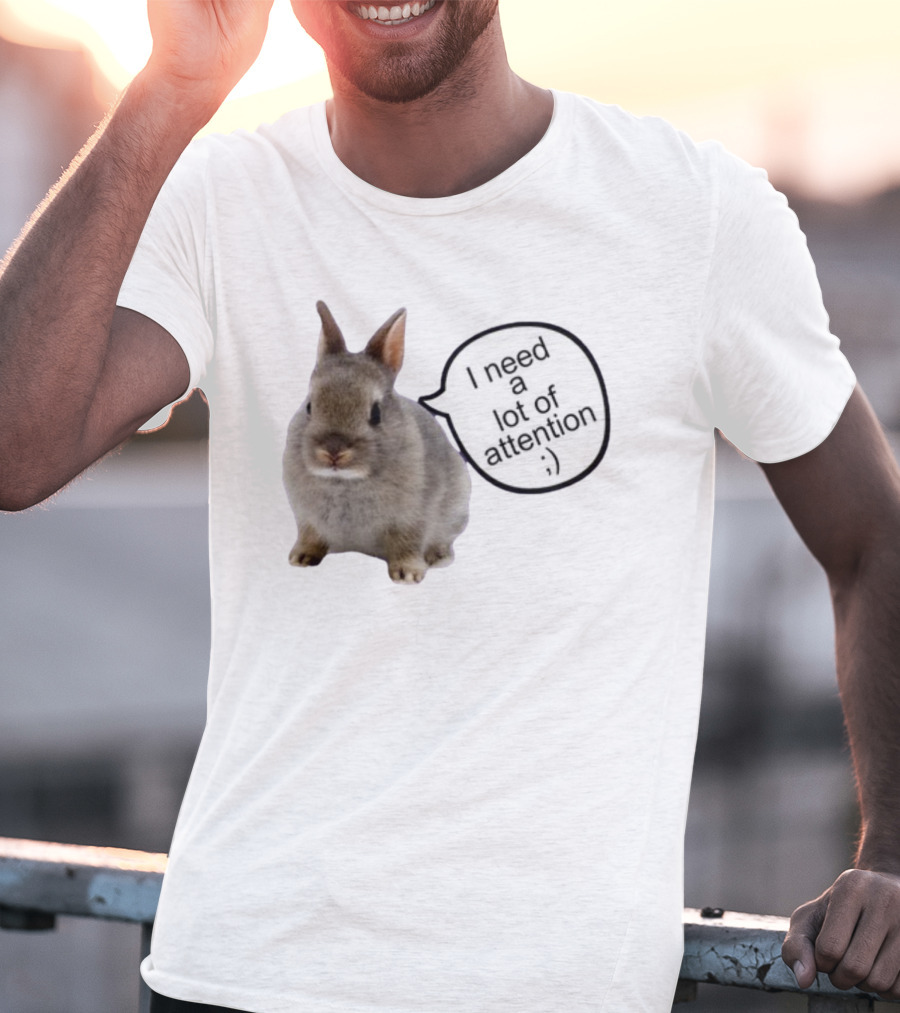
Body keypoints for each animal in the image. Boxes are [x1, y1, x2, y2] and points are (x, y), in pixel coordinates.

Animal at [282, 301, 471, 584]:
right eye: (309, 407)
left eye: (376, 413)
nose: (333, 452)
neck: (345, 480)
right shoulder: (307, 520)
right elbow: (310, 537)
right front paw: (301, 559)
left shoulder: (412, 518)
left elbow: (408, 544)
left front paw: (407, 574)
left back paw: (438, 558)